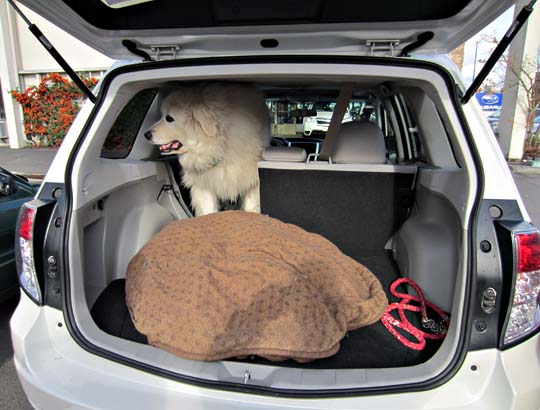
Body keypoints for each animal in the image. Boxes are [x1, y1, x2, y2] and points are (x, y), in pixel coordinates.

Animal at [143, 83, 270, 218]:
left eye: (169, 118)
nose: (146, 134)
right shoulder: (204, 186)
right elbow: (208, 211)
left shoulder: (251, 183)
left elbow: (251, 208)